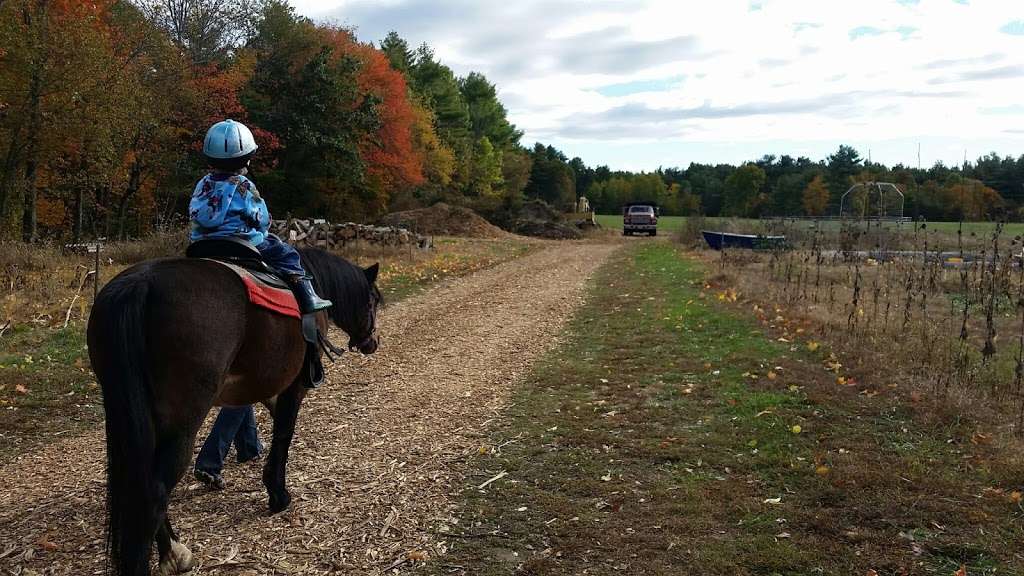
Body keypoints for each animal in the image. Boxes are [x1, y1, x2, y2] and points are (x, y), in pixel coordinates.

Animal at [87, 248, 380, 573]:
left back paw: (174, 552)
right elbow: (283, 432)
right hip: (182, 422)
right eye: (372, 301)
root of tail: (141, 284)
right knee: (153, 493)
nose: (372, 342)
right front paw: (278, 494)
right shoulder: (294, 384)